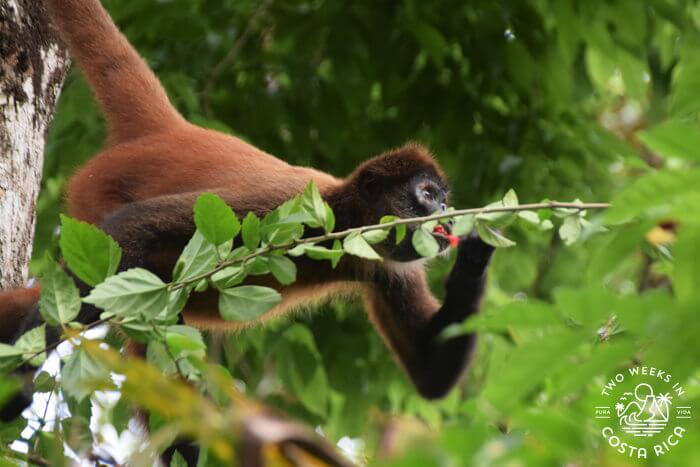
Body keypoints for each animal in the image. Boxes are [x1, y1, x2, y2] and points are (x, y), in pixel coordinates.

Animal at [0, 0, 495, 462]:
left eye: (443, 199)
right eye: (427, 194)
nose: (446, 213)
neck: (344, 217)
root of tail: (170, 131)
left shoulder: (386, 263)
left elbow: (431, 375)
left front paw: (479, 251)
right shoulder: (288, 205)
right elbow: (133, 225)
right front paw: (19, 381)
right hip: (96, 194)